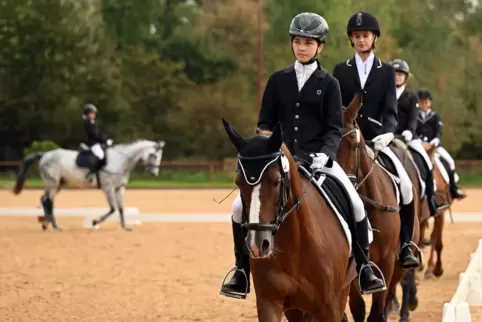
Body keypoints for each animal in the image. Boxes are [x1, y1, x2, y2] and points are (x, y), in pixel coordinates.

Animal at [11, 140, 166, 230]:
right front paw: (95, 222)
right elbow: (113, 208)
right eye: (153, 155)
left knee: (45, 200)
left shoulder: (119, 188)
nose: (154, 173)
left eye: (159, 156)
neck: (120, 160)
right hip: (53, 183)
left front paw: (125, 226)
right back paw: (53, 225)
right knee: (48, 201)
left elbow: (121, 208)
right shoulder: (108, 187)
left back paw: (47, 224)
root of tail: (45, 154)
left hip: (58, 184)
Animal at [221, 119, 354, 322]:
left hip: (342, 293)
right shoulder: (269, 302)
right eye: (238, 182)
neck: (295, 246)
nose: (258, 245)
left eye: (276, 181)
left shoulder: (329, 307)